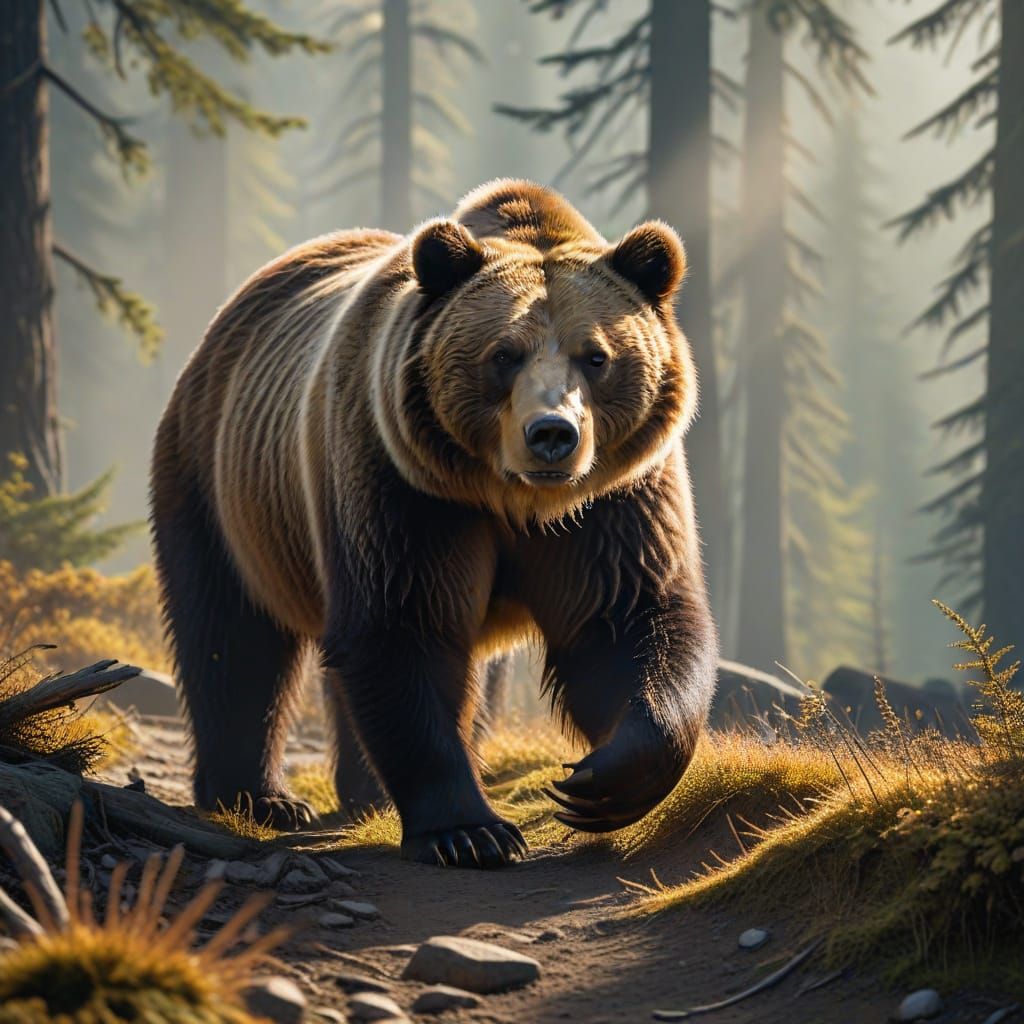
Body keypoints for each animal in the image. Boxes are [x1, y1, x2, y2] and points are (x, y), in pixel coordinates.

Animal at [150, 179, 718, 868]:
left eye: (596, 356)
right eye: (504, 354)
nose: (552, 434)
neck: (513, 502)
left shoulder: (613, 503)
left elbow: (627, 620)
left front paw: (601, 783)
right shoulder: (408, 490)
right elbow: (404, 626)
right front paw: (469, 832)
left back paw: (360, 792)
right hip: (221, 482)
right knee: (232, 636)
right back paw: (258, 796)